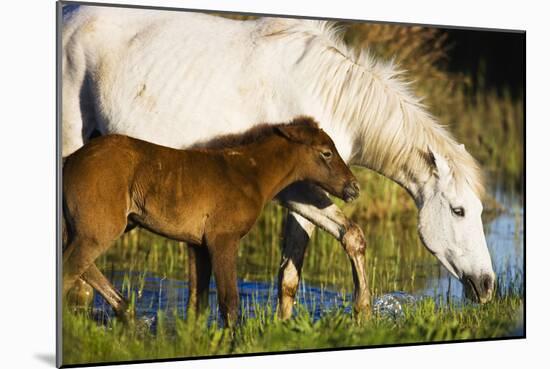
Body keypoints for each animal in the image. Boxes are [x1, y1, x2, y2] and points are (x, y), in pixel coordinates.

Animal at [62, 116, 360, 324]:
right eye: (326, 153)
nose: (353, 187)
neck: (251, 174)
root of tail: (69, 161)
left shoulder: (198, 245)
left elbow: (198, 302)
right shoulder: (222, 238)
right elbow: (229, 302)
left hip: (92, 227)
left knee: (81, 266)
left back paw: (129, 315)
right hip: (100, 228)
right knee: (71, 268)